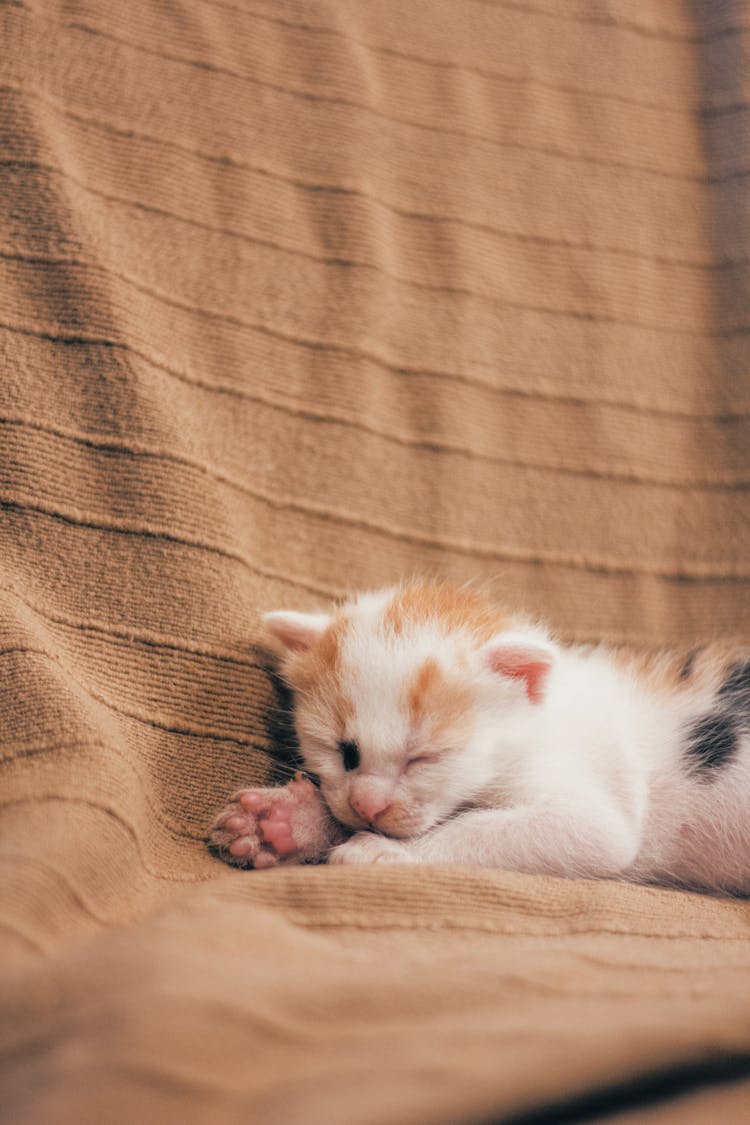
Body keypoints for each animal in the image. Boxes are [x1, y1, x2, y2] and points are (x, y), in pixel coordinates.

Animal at [208, 585, 750, 891]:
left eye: (424, 758)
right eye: (345, 752)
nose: (368, 806)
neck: (537, 723)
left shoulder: (600, 807)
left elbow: (565, 832)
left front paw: (384, 852)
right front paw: (286, 823)